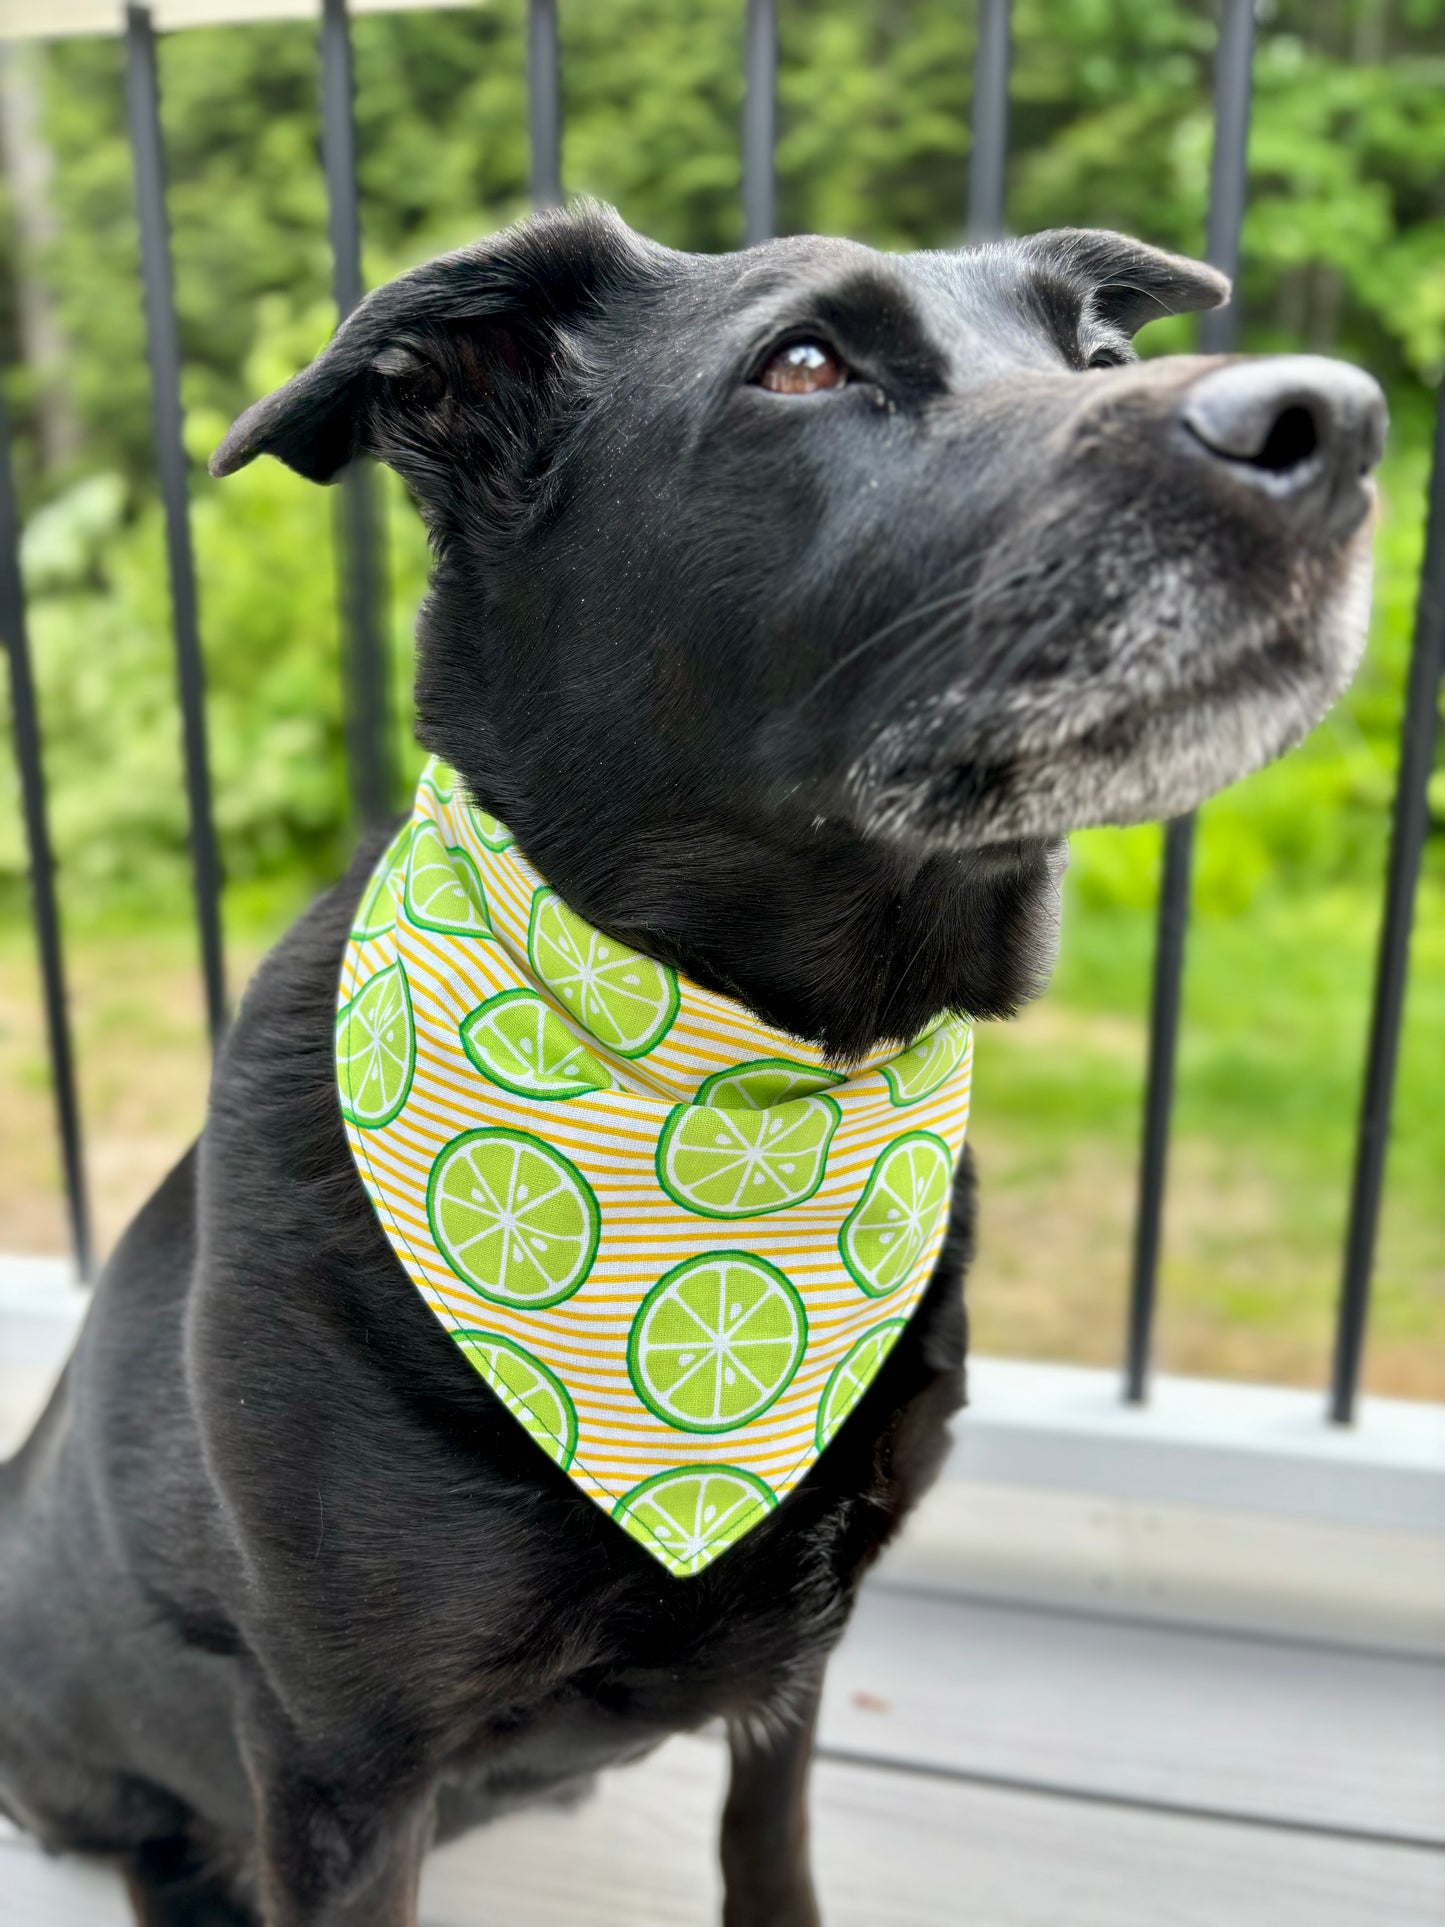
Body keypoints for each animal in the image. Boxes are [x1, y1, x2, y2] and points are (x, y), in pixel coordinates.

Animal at [0, 203, 1387, 1919]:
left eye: (1103, 351)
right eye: (799, 362)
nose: (1335, 423)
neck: (747, 1094)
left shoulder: (798, 1658)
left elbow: (766, 1846)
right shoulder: (338, 1750)